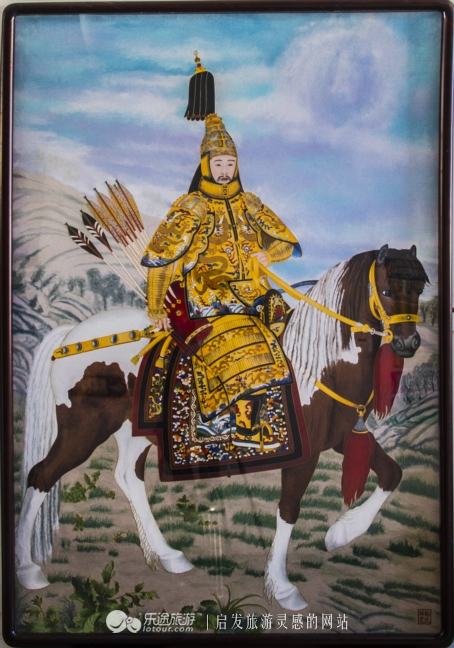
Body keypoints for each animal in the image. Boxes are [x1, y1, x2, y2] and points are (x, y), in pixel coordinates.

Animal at [15, 244, 427, 611]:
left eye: (420, 289)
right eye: (387, 291)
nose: (408, 342)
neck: (319, 364)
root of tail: (70, 337)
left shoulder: (344, 436)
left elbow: (393, 473)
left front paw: (341, 532)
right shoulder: (303, 453)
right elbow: (289, 509)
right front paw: (282, 586)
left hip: (135, 431)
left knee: (127, 476)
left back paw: (167, 555)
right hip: (82, 428)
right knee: (41, 475)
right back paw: (27, 570)